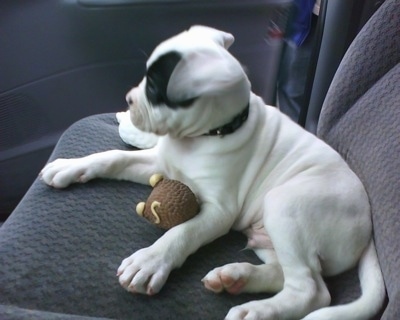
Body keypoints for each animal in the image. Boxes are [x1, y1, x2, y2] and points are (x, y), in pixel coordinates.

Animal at [40, 25, 384, 320]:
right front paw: (70, 166)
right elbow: (114, 158)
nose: (128, 99)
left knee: (312, 291)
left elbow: (183, 232)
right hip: (270, 237)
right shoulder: (158, 164)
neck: (202, 136)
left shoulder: (220, 211)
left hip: (286, 206)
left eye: (155, 87)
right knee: (288, 274)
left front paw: (150, 261)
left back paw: (256, 310)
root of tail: (367, 226)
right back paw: (236, 278)